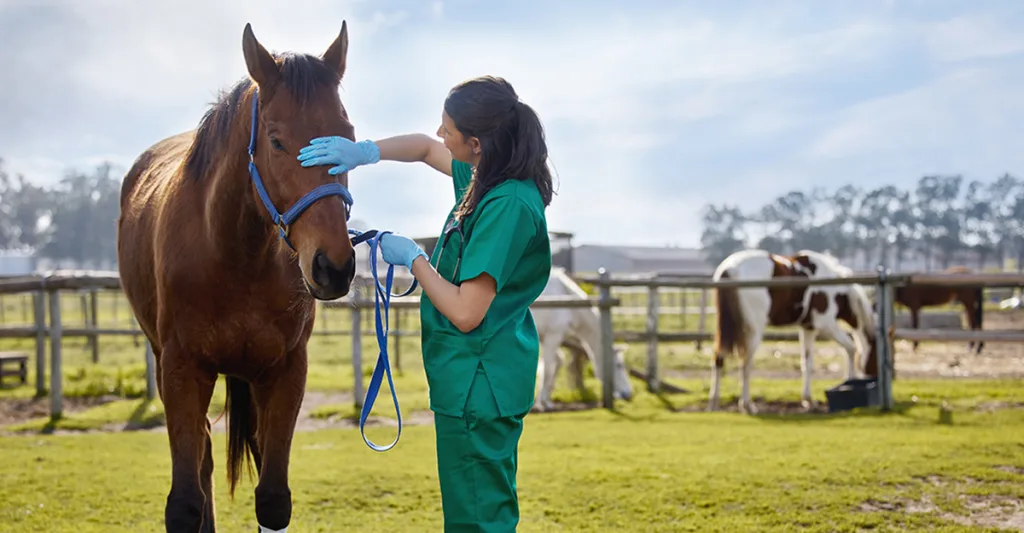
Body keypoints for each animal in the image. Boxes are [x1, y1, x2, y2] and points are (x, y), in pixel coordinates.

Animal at [117, 21, 360, 531]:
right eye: (276, 140)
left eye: (347, 135)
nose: (332, 265)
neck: (234, 255)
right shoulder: (181, 370)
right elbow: (185, 501)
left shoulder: (286, 372)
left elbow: (272, 496)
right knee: (205, 459)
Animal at [712, 247, 880, 413]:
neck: (834, 287)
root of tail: (731, 269)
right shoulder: (826, 325)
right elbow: (851, 348)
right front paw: (849, 380)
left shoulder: (808, 328)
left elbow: (807, 362)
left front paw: (808, 400)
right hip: (754, 331)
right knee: (745, 364)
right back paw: (747, 405)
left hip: (724, 329)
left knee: (718, 358)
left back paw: (714, 403)